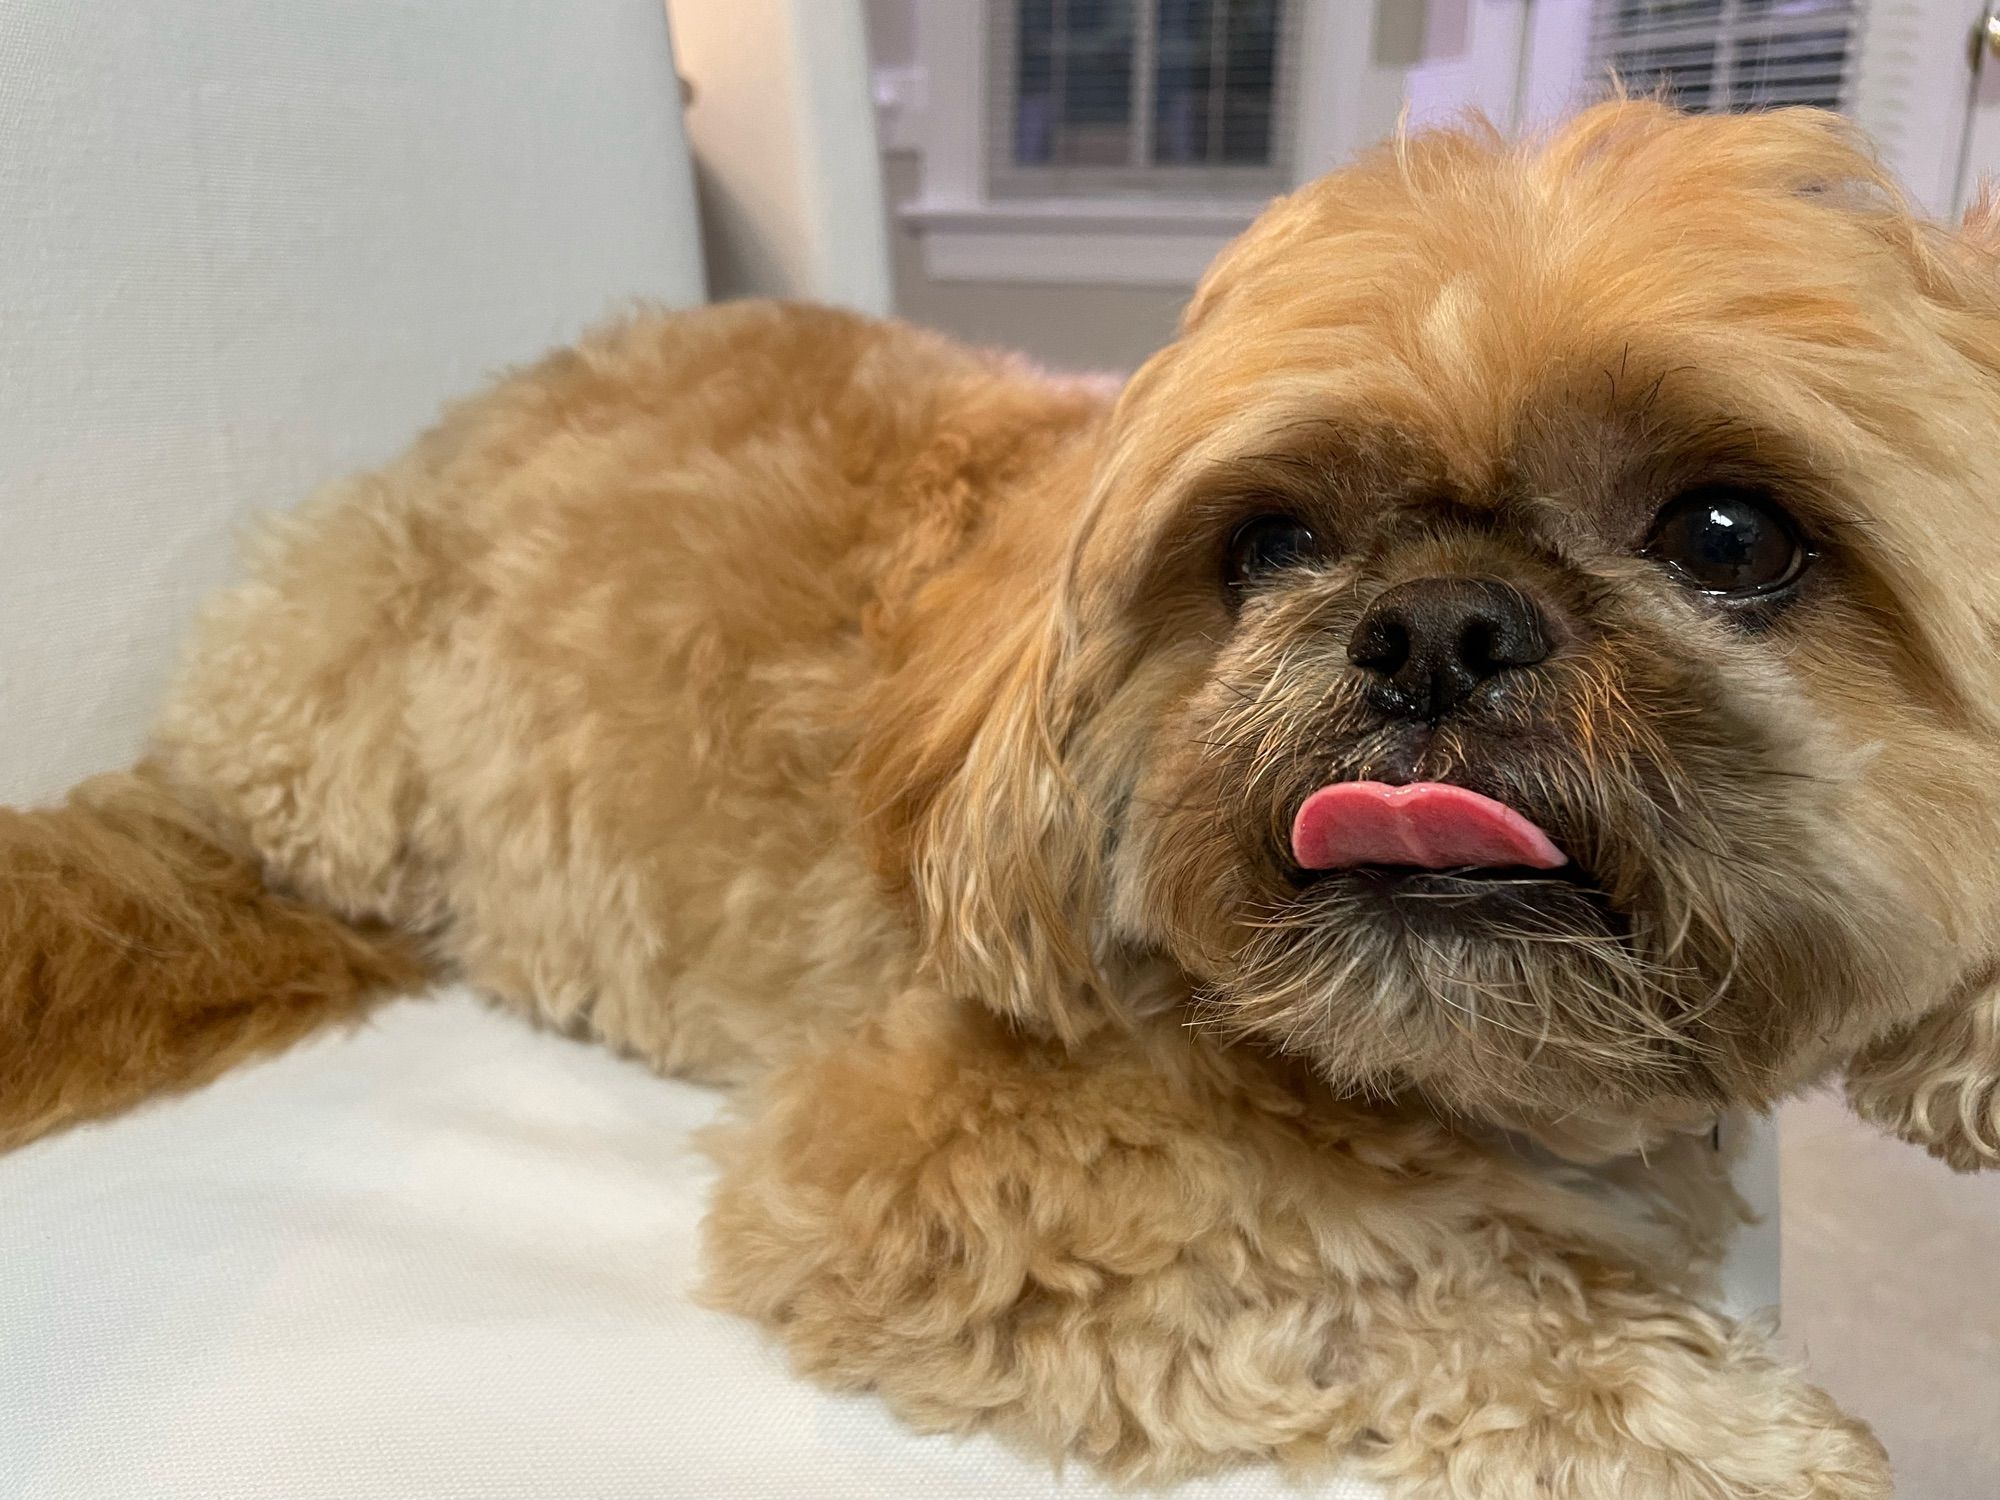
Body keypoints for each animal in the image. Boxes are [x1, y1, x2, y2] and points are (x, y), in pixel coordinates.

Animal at [3, 100, 2000, 1496]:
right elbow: (1441, 1269)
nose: (1435, 625)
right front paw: (1725, 1427)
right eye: (1270, 544)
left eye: (1729, 534)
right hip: (335, 713)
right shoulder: (941, 1169)